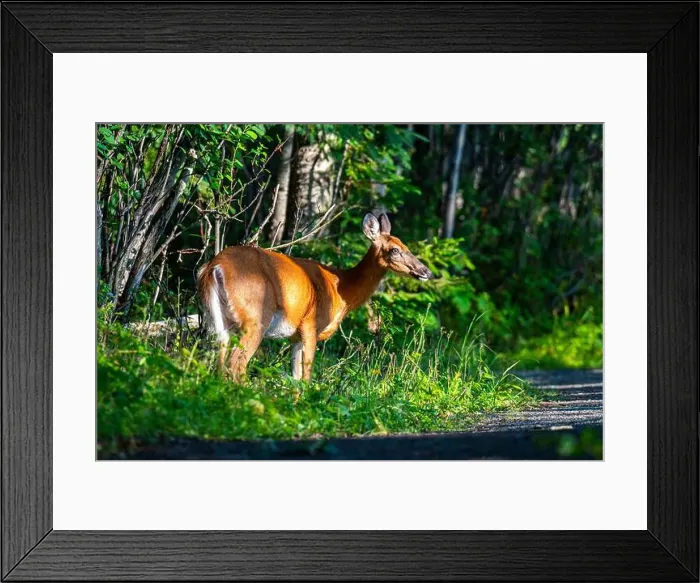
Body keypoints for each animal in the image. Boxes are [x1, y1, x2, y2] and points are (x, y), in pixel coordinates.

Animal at [197, 212, 435, 382]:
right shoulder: (310, 326)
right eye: (394, 250)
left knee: (220, 363)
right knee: (236, 365)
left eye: (406, 246)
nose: (427, 272)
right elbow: (306, 378)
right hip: (255, 317)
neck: (341, 289)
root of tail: (215, 267)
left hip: (222, 320)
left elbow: (295, 378)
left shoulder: (294, 337)